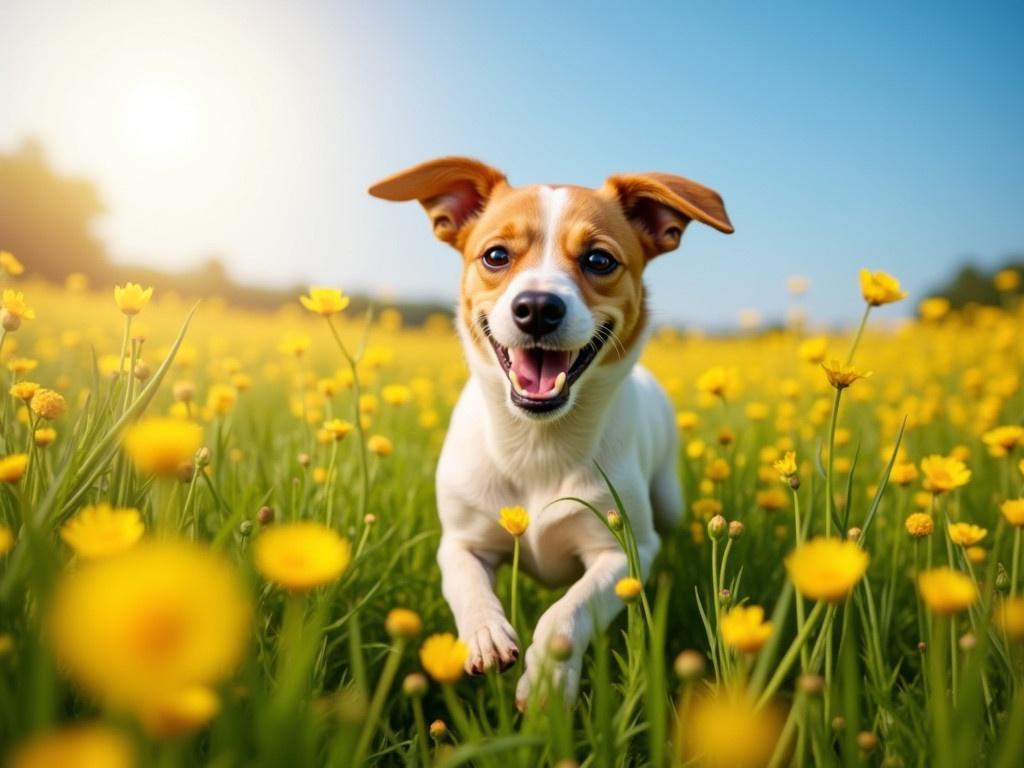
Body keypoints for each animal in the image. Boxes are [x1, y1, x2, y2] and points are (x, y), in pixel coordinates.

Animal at [366, 159, 729, 708]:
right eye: (495, 255)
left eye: (599, 260)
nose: (537, 306)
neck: (537, 444)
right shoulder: (461, 540)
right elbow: (467, 584)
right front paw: (486, 635)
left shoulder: (623, 552)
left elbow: (568, 610)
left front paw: (547, 678)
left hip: (667, 498)